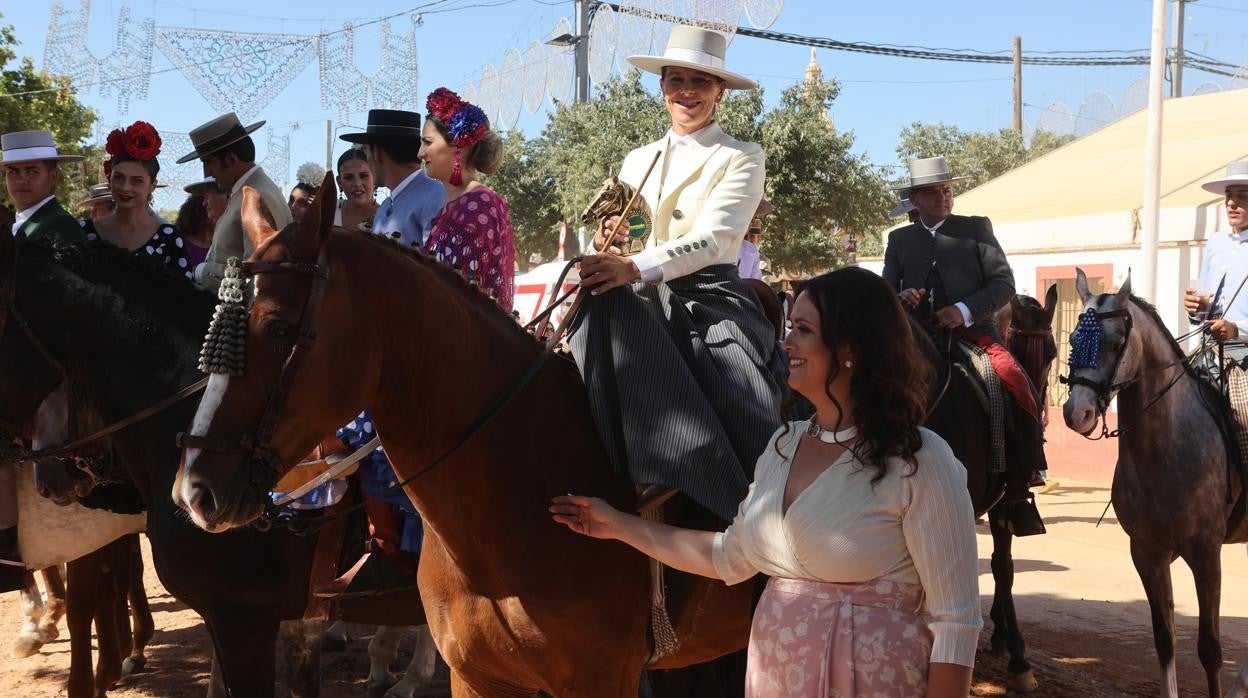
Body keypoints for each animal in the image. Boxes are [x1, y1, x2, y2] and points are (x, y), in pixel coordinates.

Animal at [1063, 268, 1248, 698]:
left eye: (1115, 343)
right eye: (1074, 340)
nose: (1076, 413)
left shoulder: (1206, 553)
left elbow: (1210, 649)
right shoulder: (1147, 552)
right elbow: (1165, 640)